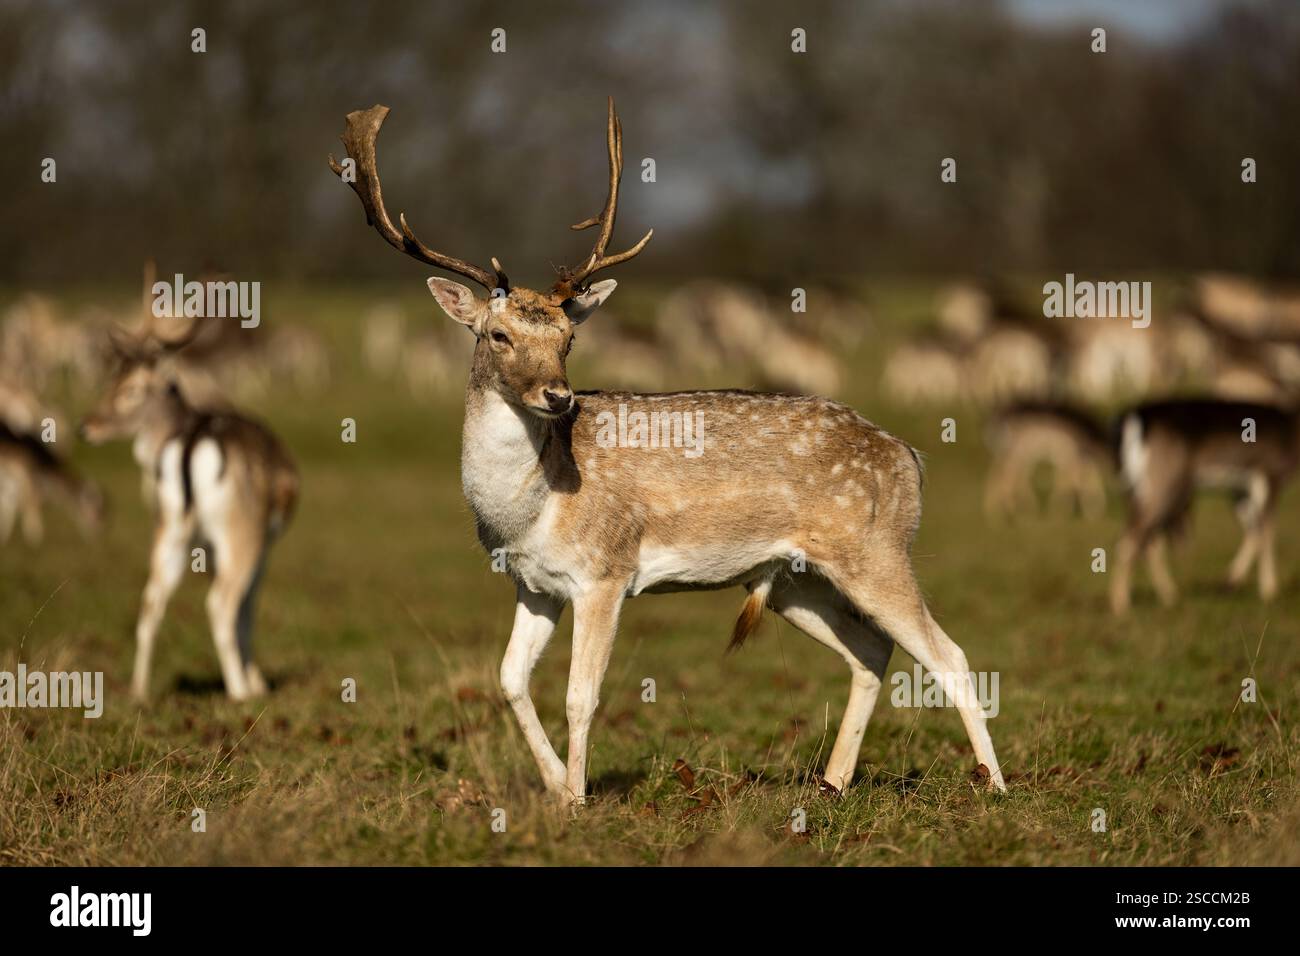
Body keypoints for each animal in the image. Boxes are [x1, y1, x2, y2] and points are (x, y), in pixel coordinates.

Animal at [78, 310, 299, 701]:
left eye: (128, 388)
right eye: (113, 382)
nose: (86, 427)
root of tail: (192, 442)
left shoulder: (206, 550)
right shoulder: (262, 545)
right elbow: (248, 608)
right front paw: (258, 684)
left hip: (169, 528)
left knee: (150, 600)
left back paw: (138, 691)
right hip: (242, 532)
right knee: (221, 603)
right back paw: (239, 692)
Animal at [329, 97, 1005, 803]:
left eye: (569, 337)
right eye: (497, 335)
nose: (557, 397)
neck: (526, 509)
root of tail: (910, 456)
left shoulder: (605, 572)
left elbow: (580, 696)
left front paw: (578, 799)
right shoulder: (533, 583)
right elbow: (509, 680)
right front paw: (555, 788)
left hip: (876, 551)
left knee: (950, 655)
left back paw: (995, 787)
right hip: (796, 581)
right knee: (872, 651)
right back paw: (833, 785)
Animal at [1110, 398, 1299, 616]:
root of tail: (1134, 418)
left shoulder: (1239, 489)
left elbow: (1254, 531)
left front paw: (1230, 581)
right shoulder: (1269, 474)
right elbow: (1267, 532)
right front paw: (1269, 593)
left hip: (1137, 491)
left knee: (1148, 542)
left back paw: (1170, 597)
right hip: (1163, 484)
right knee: (1130, 541)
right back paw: (1121, 606)